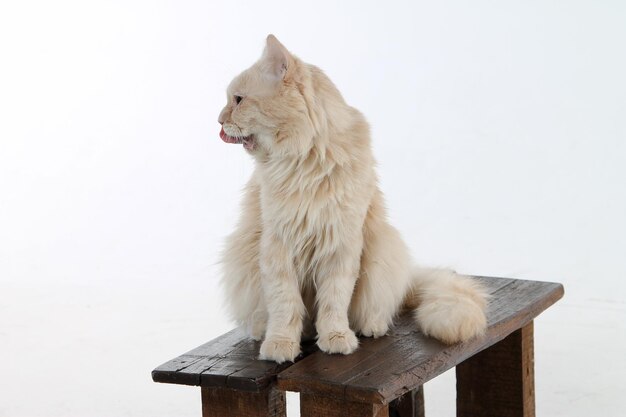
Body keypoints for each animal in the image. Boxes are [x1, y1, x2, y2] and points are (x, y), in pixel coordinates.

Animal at [217, 35, 486, 360]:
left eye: (238, 100)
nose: (218, 120)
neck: (304, 162)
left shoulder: (341, 244)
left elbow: (334, 301)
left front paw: (335, 337)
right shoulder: (277, 244)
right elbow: (284, 303)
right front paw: (280, 344)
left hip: (384, 249)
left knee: (375, 307)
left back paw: (371, 326)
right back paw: (272, 333)